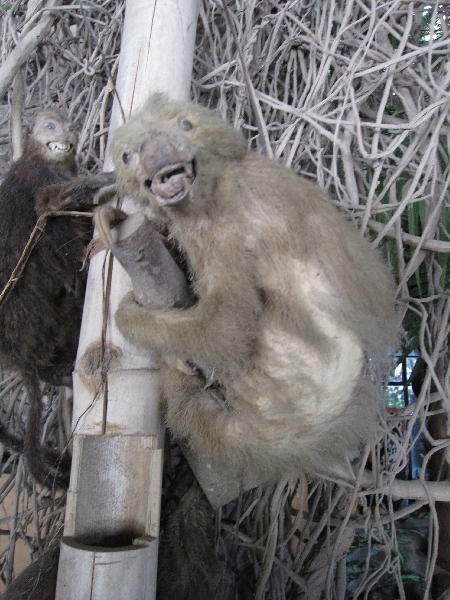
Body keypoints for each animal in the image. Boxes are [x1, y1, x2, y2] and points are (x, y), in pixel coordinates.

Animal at [0, 110, 114, 488]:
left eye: (67, 124)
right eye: (49, 126)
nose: (68, 132)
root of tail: (18, 359)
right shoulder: (38, 178)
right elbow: (52, 201)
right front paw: (112, 177)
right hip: (50, 321)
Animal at [111, 95, 398, 482]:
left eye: (185, 125)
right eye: (128, 155)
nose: (157, 150)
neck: (219, 180)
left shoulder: (220, 232)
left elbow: (226, 328)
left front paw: (127, 315)